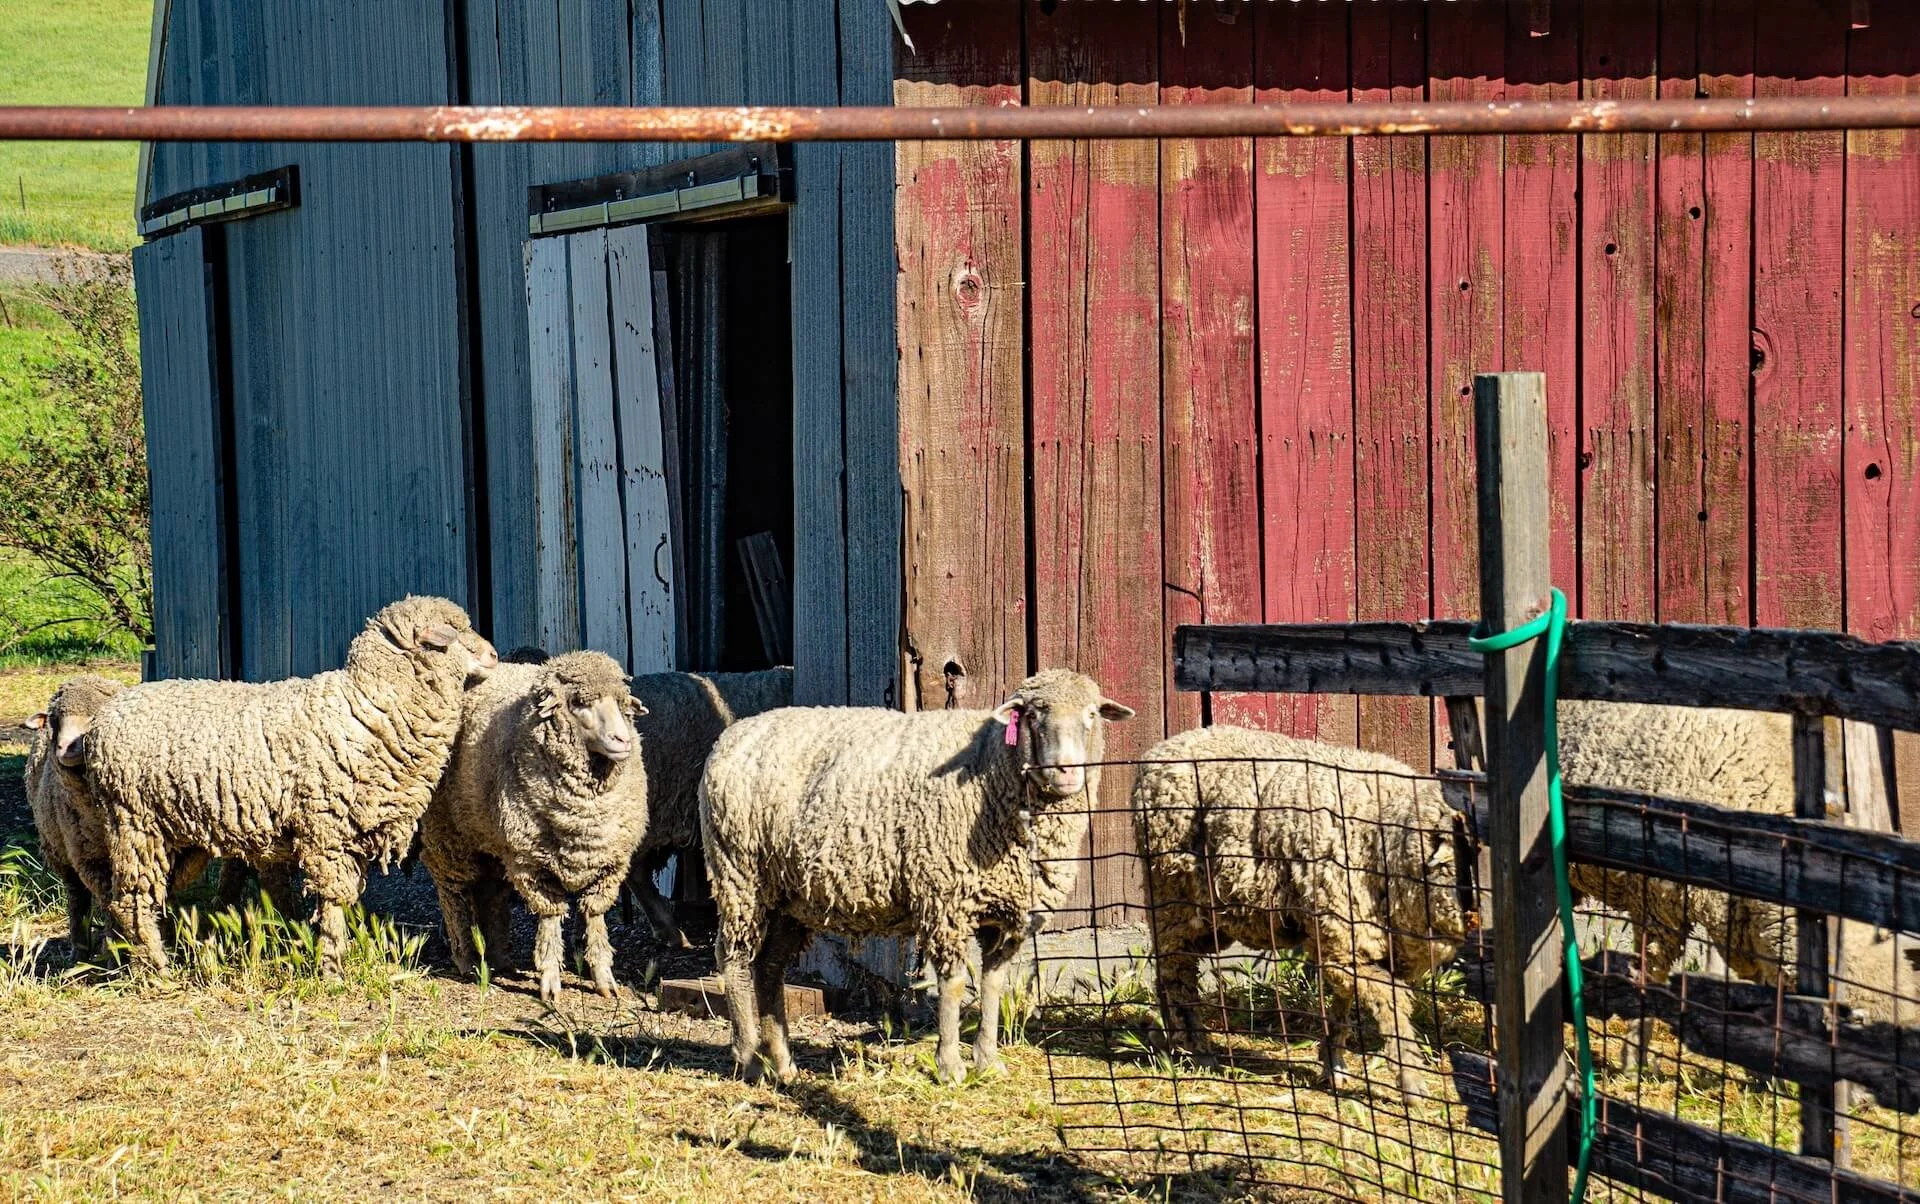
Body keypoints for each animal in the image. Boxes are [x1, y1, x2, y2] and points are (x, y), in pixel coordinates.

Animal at [85, 595, 498, 973]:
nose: (494, 655)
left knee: (137, 896)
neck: (369, 705)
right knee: (132, 900)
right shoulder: (325, 832)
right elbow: (333, 900)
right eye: (456, 632)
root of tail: (100, 723)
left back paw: (122, 953)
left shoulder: (349, 834)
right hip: (134, 824)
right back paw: (154, 969)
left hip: (177, 837)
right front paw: (331, 966)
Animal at [419, 650, 650, 1001]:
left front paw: (604, 978)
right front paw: (550, 981)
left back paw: (500, 959)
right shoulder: (532, 862)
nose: (622, 740)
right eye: (578, 702)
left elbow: (594, 916)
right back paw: (467, 960)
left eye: (622, 702)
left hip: (491, 840)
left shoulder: (608, 863)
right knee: (454, 893)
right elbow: (550, 918)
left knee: (491, 894)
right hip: (448, 835)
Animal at [701, 668, 1135, 1085]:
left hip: (789, 898)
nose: (1066, 769)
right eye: (1032, 714)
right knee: (734, 960)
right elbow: (954, 984)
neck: (991, 767)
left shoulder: (1007, 912)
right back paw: (749, 1059)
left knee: (769, 968)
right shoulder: (946, 900)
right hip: (740, 876)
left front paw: (988, 1062)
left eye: (1091, 715)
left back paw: (784, 1064)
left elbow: (993, 983)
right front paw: (951, 1066)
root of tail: (733, 734)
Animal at [1130, 725, 1477, 1097]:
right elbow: (1390, 999)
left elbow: (1344, 999)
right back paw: (1200, 1051)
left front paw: (1334, 1063)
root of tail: (1157, 753)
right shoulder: (1343, 933)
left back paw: (1172, 1039)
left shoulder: (1354, 944)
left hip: (1207, 918)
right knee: (1177, 975)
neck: (1387, 843)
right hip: (1172, 898)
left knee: (1170, 973)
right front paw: (1410, 1080)